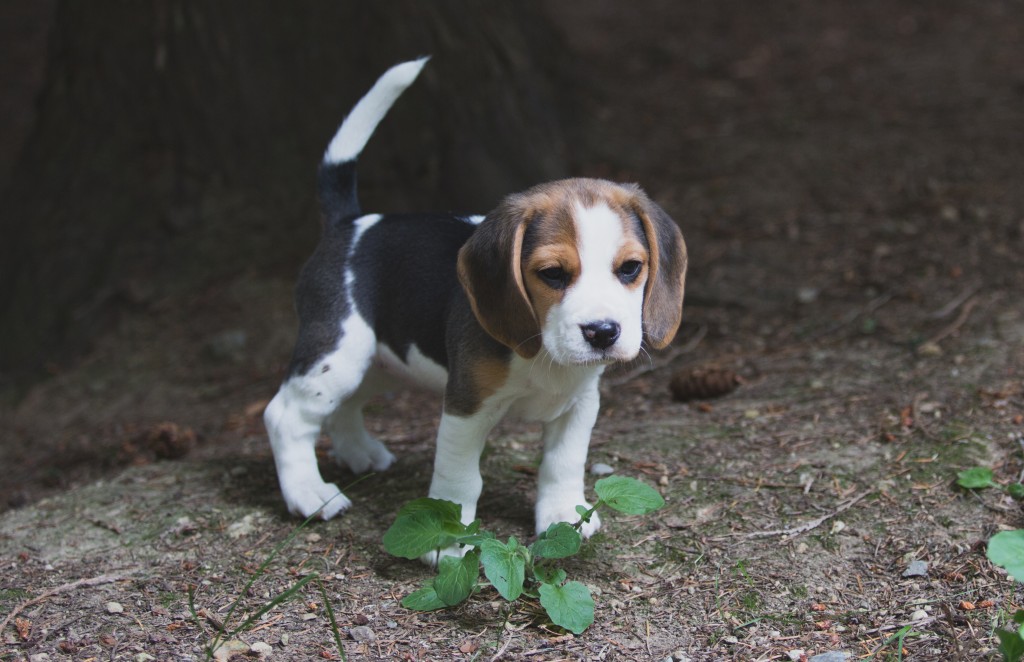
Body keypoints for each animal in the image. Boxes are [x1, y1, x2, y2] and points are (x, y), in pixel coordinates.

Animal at [264, 58, 688, 561]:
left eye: (630, 268)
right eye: (552, 274)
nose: (603, 332)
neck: (542, 351)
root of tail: (350, 224)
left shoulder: (581, 402)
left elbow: (563, 463)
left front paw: (563, 515)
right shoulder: (465, 406)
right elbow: (460, 479)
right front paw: (450, 539)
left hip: (380, 361)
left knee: (342, 407)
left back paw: (358, 454)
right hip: (339, 352)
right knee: (285, 416)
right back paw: (309, 493)